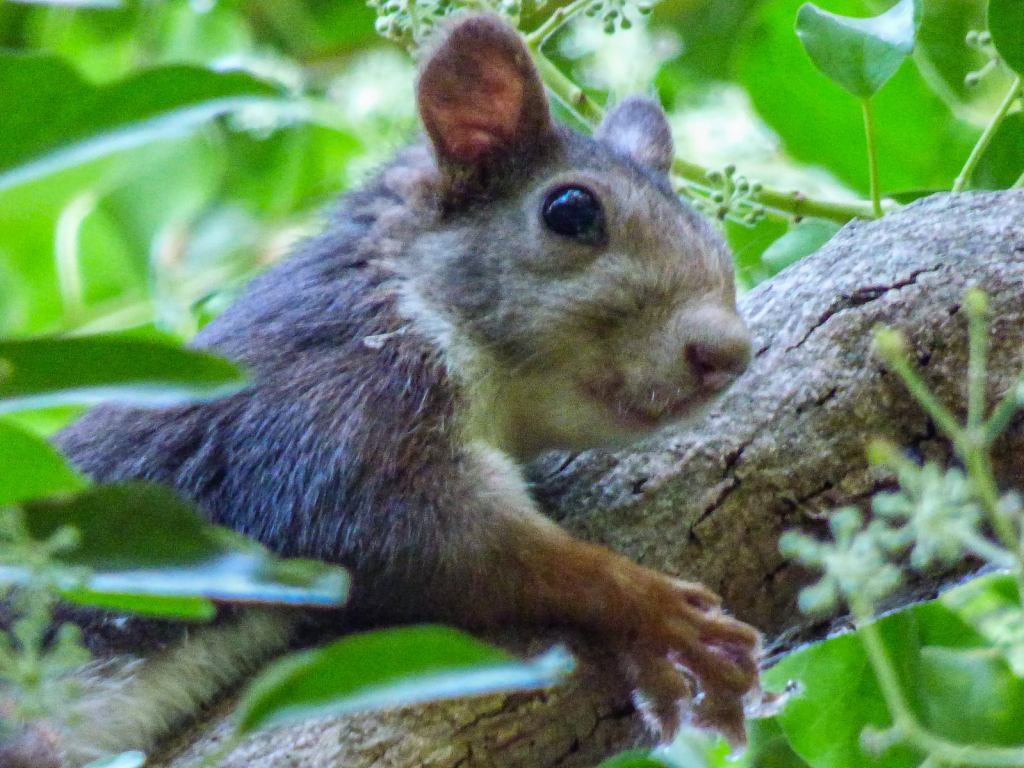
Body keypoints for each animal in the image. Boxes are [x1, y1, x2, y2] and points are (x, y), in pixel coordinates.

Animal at [2, 14, 761, 766]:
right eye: (570, 210)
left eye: (709, 229)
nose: (728, 352)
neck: (408, 296)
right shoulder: (326, 411)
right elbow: (426, 539)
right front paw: (645, 609)